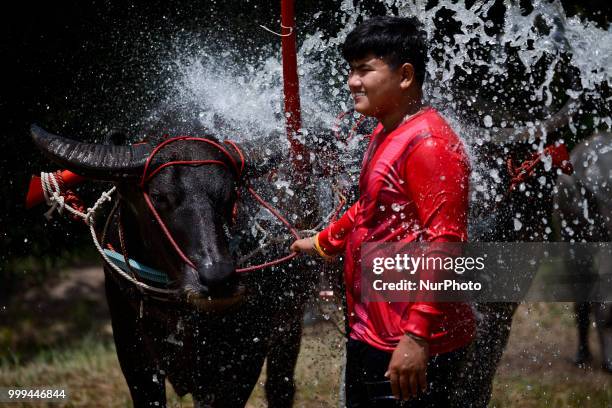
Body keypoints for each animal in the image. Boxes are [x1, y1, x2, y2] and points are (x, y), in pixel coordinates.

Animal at [29, 122, 318, 408]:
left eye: (230, 193)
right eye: (159, 196)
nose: (217, 277)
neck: (175, 308)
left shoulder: (238, 364)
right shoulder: (134, 357)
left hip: (291, 320)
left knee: (280, 386)